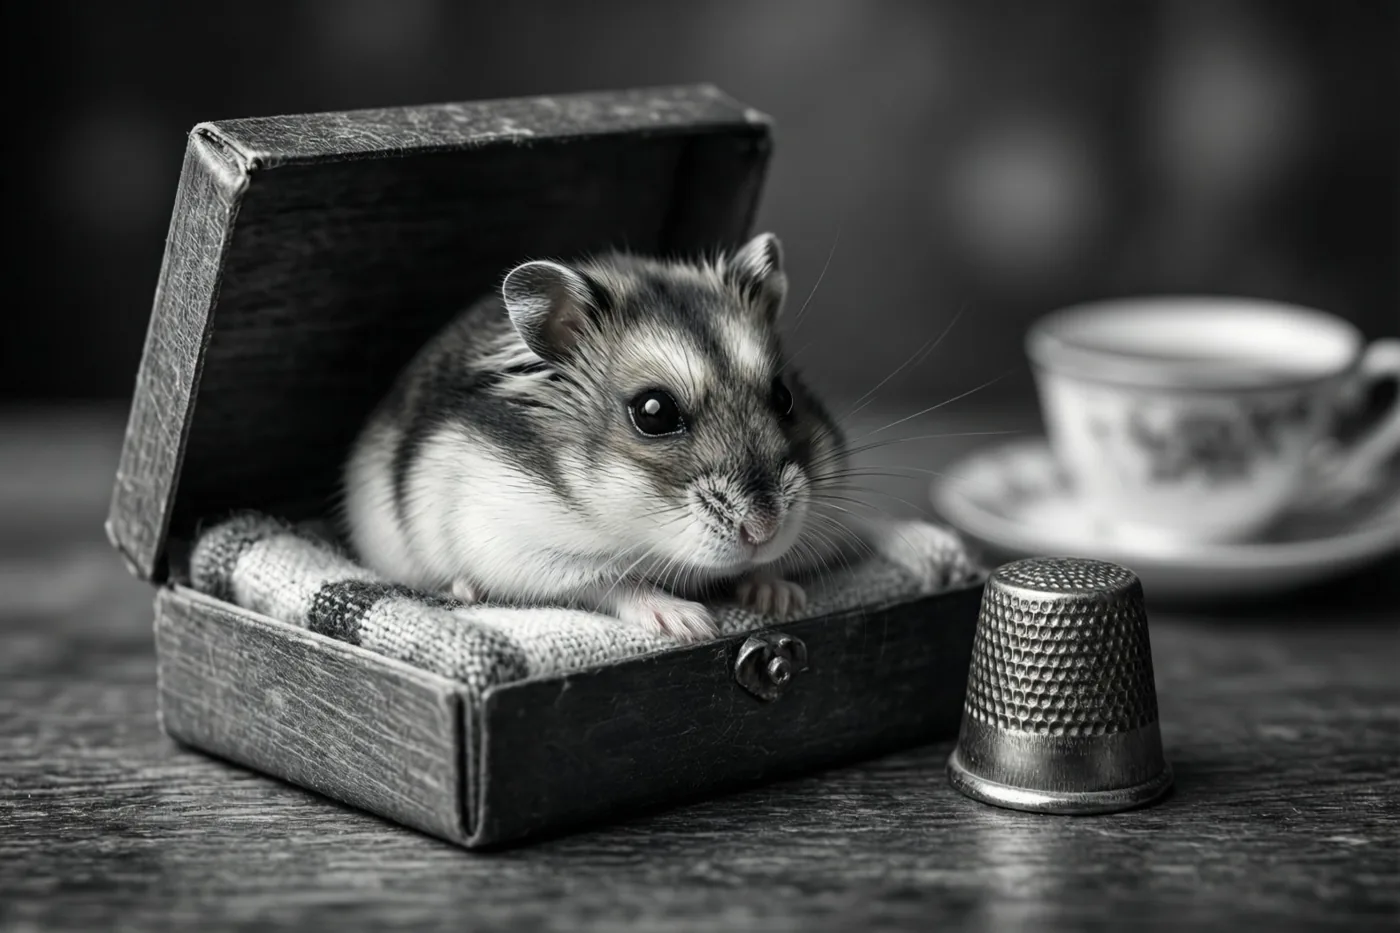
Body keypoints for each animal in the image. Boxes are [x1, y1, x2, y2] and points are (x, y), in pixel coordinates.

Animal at [343, 233, 967, 641]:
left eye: (785, 397)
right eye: (652, 412)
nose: (764, 531)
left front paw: (778, 596)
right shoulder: (519, 546)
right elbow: (609, 584)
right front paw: (691, 622)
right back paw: (463, 591)